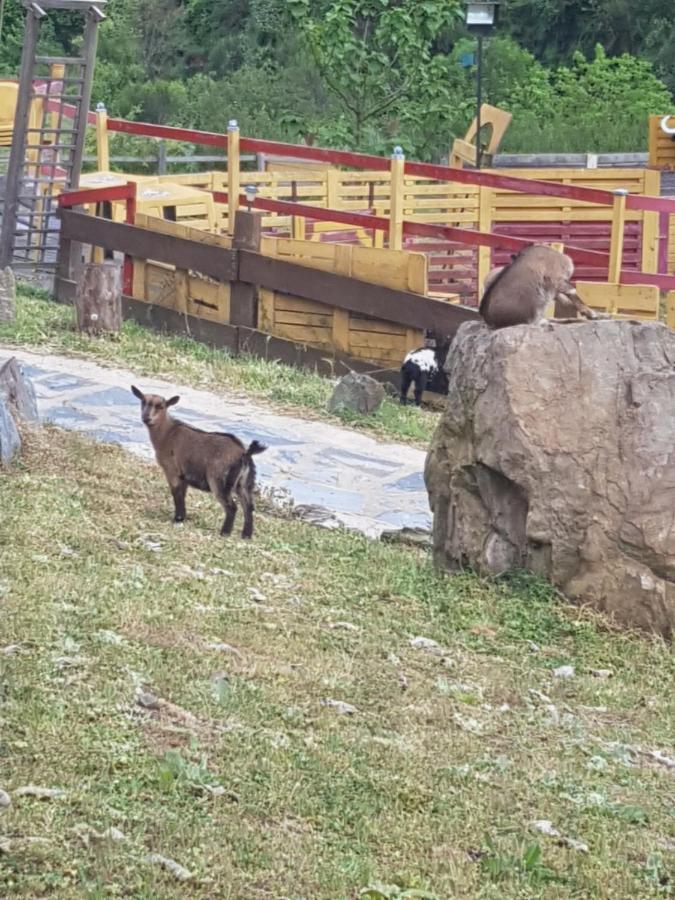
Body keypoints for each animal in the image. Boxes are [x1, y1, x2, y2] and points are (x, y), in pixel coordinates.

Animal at [132, 384, 266, 536]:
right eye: (143, 402)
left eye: (161, 406)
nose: (146, 418)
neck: (167, 433)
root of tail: (244, 453)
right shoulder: (183, 475)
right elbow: (182, 495)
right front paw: (181, 518)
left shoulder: (171, 470)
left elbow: (176, 494)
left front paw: (177, 519)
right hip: (244, 483)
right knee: (248, 506)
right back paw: (246, 535)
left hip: (219, 480)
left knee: (232, 506)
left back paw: (224, 533)